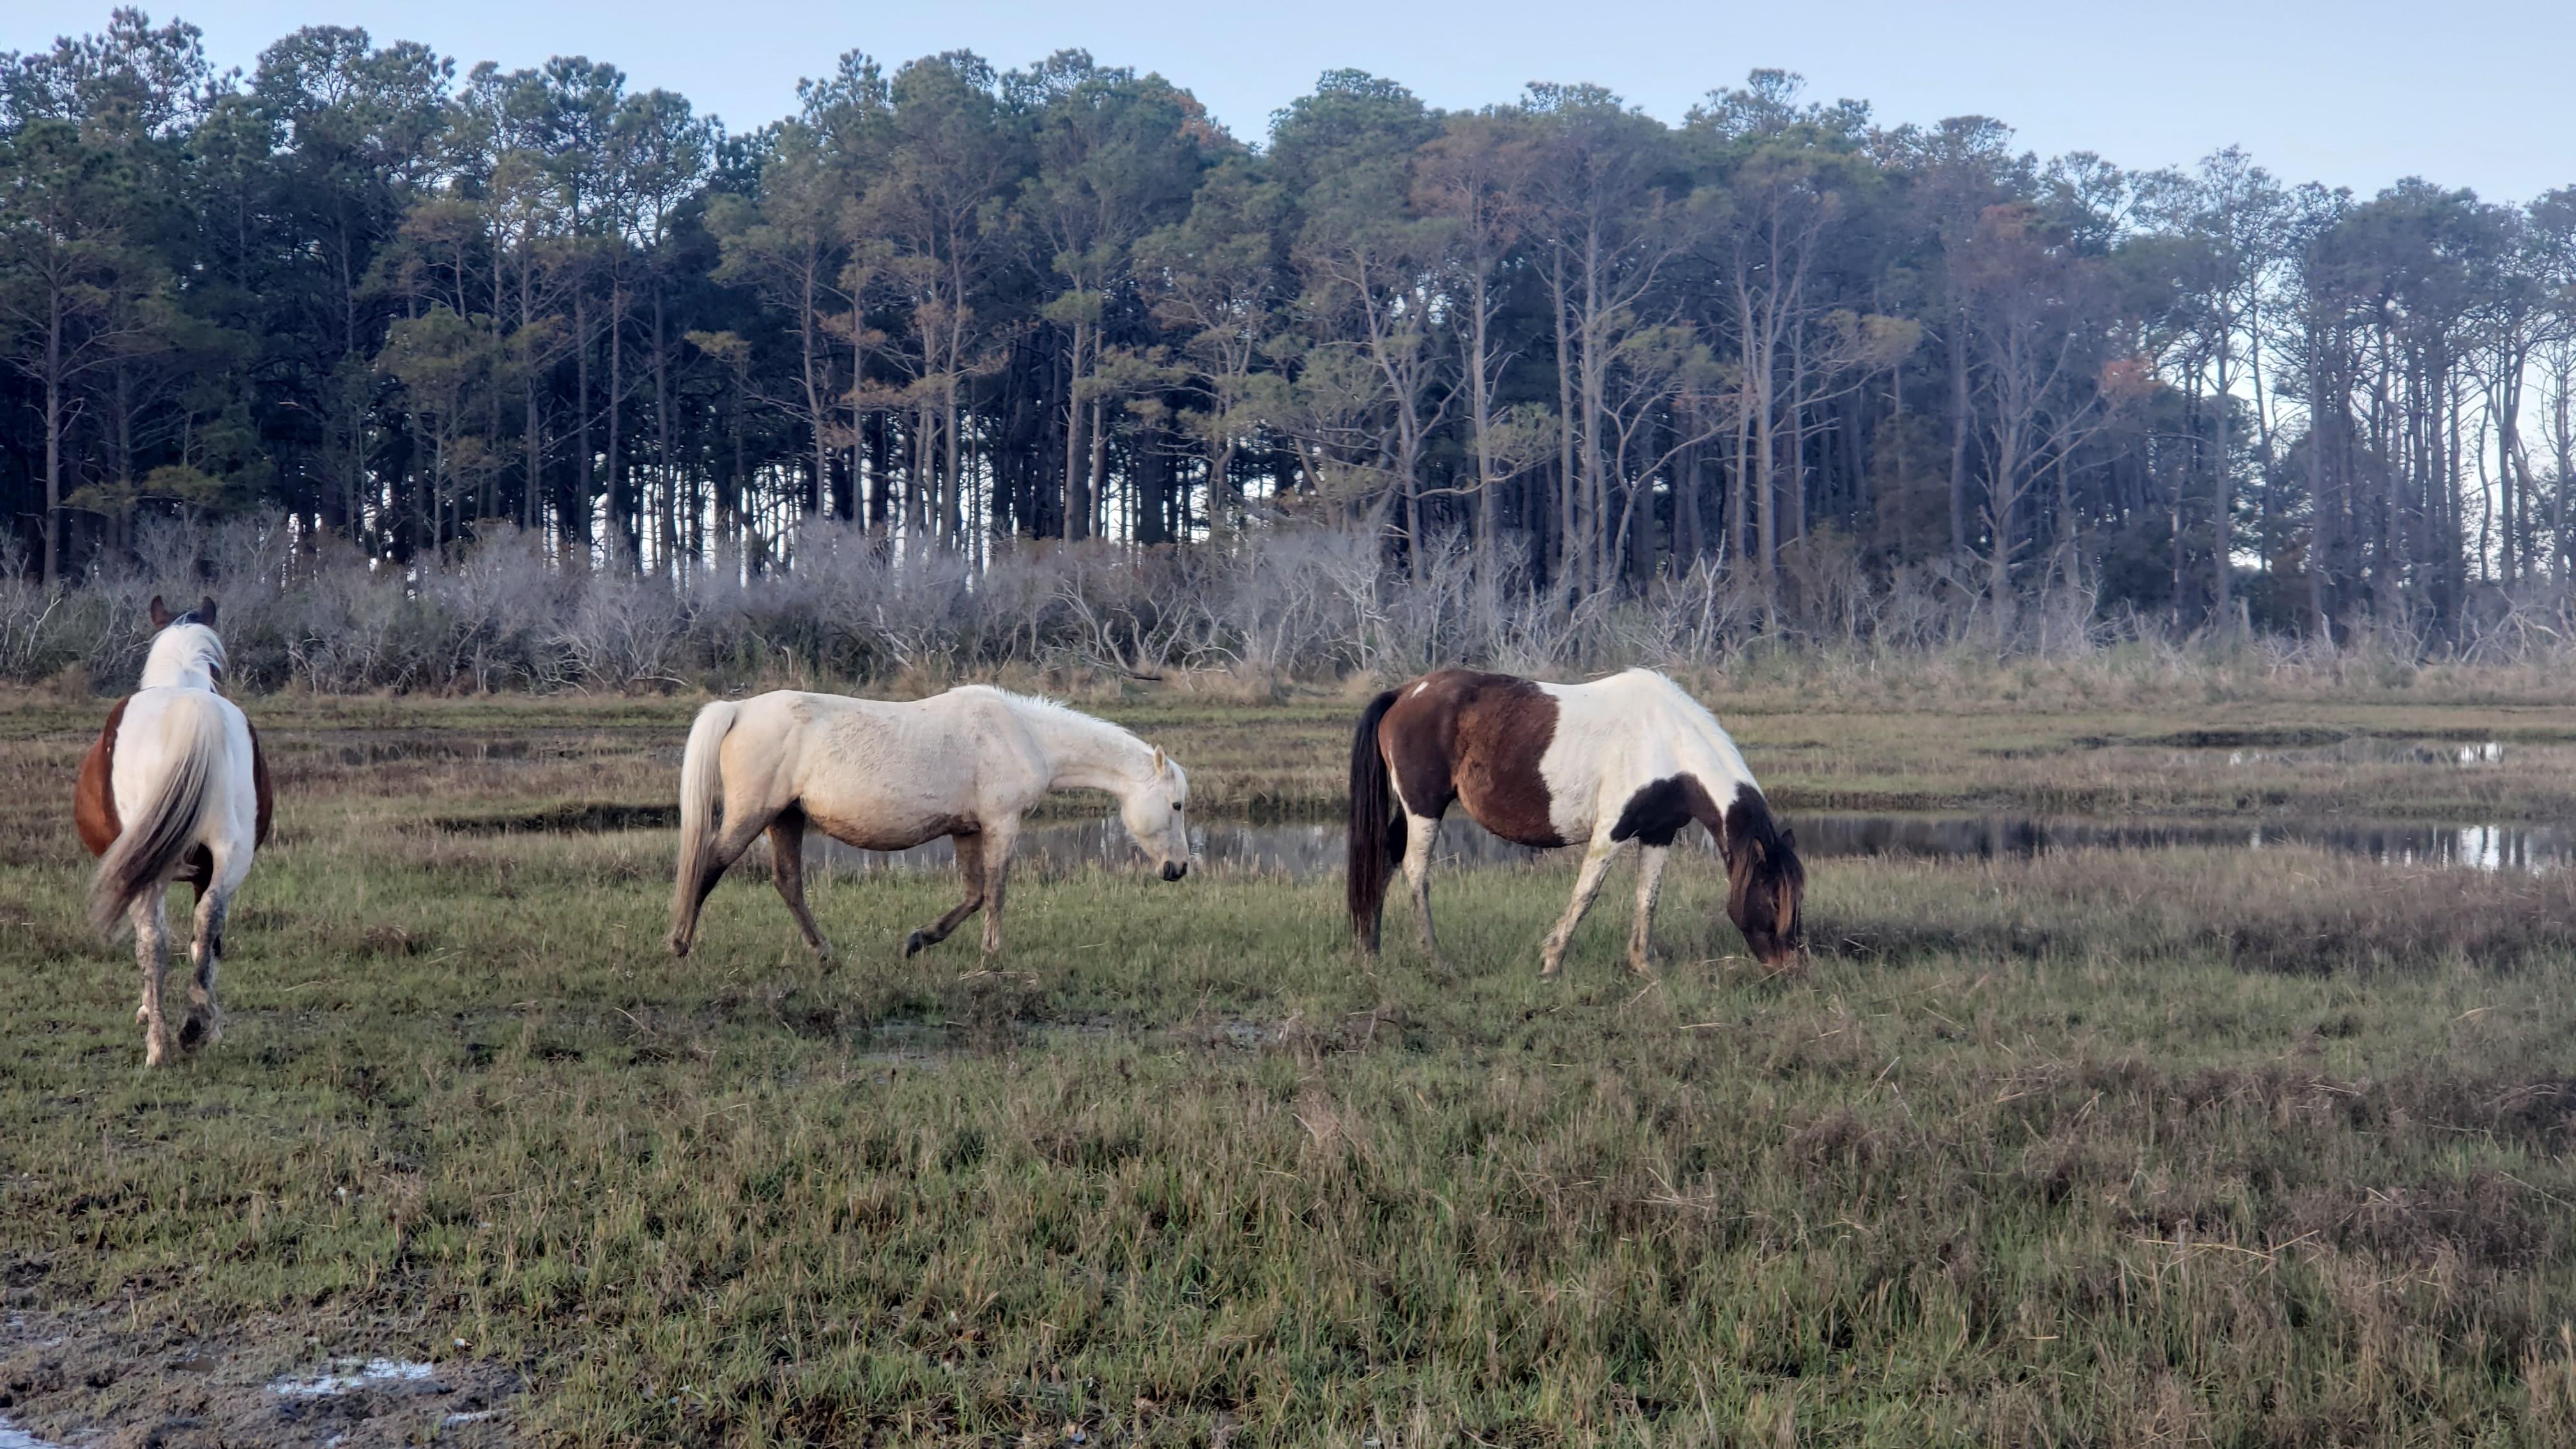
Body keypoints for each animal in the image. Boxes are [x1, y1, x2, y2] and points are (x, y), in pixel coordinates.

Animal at [75, 595, 272, 1066]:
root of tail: (191, 713)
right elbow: (206, 943)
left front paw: (148, 1011)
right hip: (229, 855)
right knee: (208, 920)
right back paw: (194, 1026)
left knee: (153, 940)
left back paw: (161, 1044)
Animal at [668, 685, 1192, 961]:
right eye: (1177, 806)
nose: (1180, 869)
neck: (1023, 735)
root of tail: (738, 710)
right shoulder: (1000, 824)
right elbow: (996, 891)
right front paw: (992, 952)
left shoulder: (966, 830)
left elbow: (974, 894)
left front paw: (920, 939)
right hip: (753, 815)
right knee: (708, 866)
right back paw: (679, 943)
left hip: (787, 819)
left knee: (788, 882)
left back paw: (823, 951)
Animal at [1347, 666, 1805, 976]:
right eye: (1774, 899)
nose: (1789, 964)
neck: (1667, 741)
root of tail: (1405, 693)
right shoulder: (1611, 831)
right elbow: (1585, 895)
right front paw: (1552, 962)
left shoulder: (1659, 833)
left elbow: (1648, 896)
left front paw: (1643, 966)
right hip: (1424, 807)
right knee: (1415, 871)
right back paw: (1436, 959)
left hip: (1410, 810)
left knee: (1384, 861)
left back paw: (1370, 949)